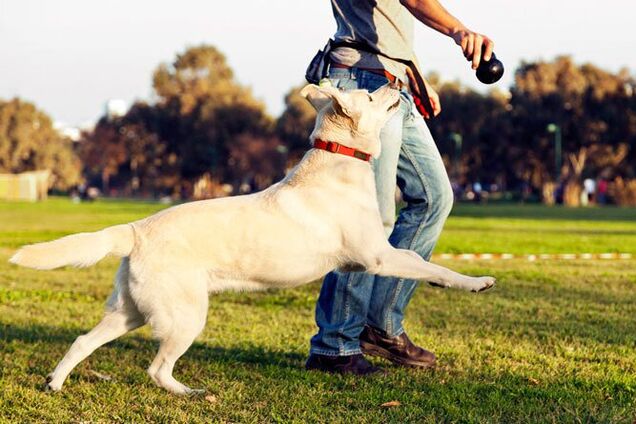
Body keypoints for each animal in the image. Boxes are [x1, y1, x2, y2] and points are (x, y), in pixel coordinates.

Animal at [11, 83, 496, 394]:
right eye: (372, 95)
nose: (398, 83)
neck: (338, 161)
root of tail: (136, 229)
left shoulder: (371, 259)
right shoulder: (378, 256)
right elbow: (429, 265)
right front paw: (476, 282)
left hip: (130, 312)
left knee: (82, 341)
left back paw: (55, 383)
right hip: (185, 316)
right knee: (156, 368)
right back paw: (189, 393)